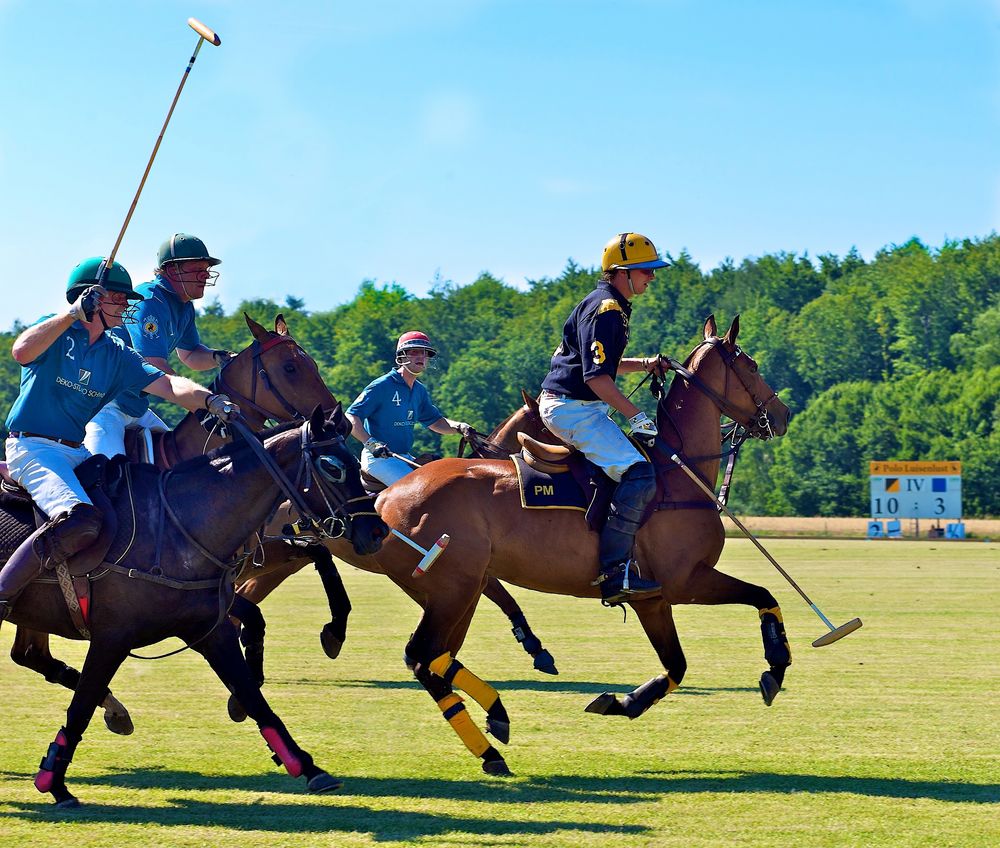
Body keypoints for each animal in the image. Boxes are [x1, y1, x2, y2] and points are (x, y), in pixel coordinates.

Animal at [308, 314, 792, 776]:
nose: (782, 414)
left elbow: (682, 660)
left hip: (457, 591)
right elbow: (761, 596)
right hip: (452, 589)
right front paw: (776, 664)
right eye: (751, 366)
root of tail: (384, 499)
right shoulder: (685, 581)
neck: (680, 471)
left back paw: (495, 722)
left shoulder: (652, 598)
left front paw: (621, 702)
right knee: (423, 656)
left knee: (434, 660)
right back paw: (489, 743)